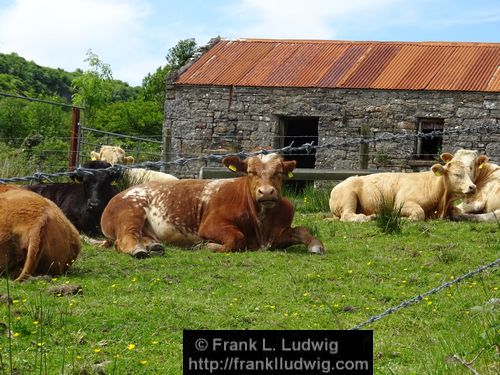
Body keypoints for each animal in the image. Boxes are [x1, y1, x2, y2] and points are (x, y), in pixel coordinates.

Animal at [99, 153, 324, 258]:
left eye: (279, 173)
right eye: (251, 172)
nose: (267, 192)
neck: (261, 226)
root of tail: (119, 194)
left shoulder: (276, 234)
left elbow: (302, 230)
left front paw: (316, 245)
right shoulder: (210, 225)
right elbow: (236, 239)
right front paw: (206, 245)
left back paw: (152, 246)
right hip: (131, 212)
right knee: (125, 239)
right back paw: (139, 249)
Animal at [328, 154, 476, 222]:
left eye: (469, 172)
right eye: (457, 174)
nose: (473, 187)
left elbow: (460, 212)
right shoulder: (402, 203)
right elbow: (419, 213)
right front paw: (401, 219)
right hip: (348, 196)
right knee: (347, 215)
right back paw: (367, 218)